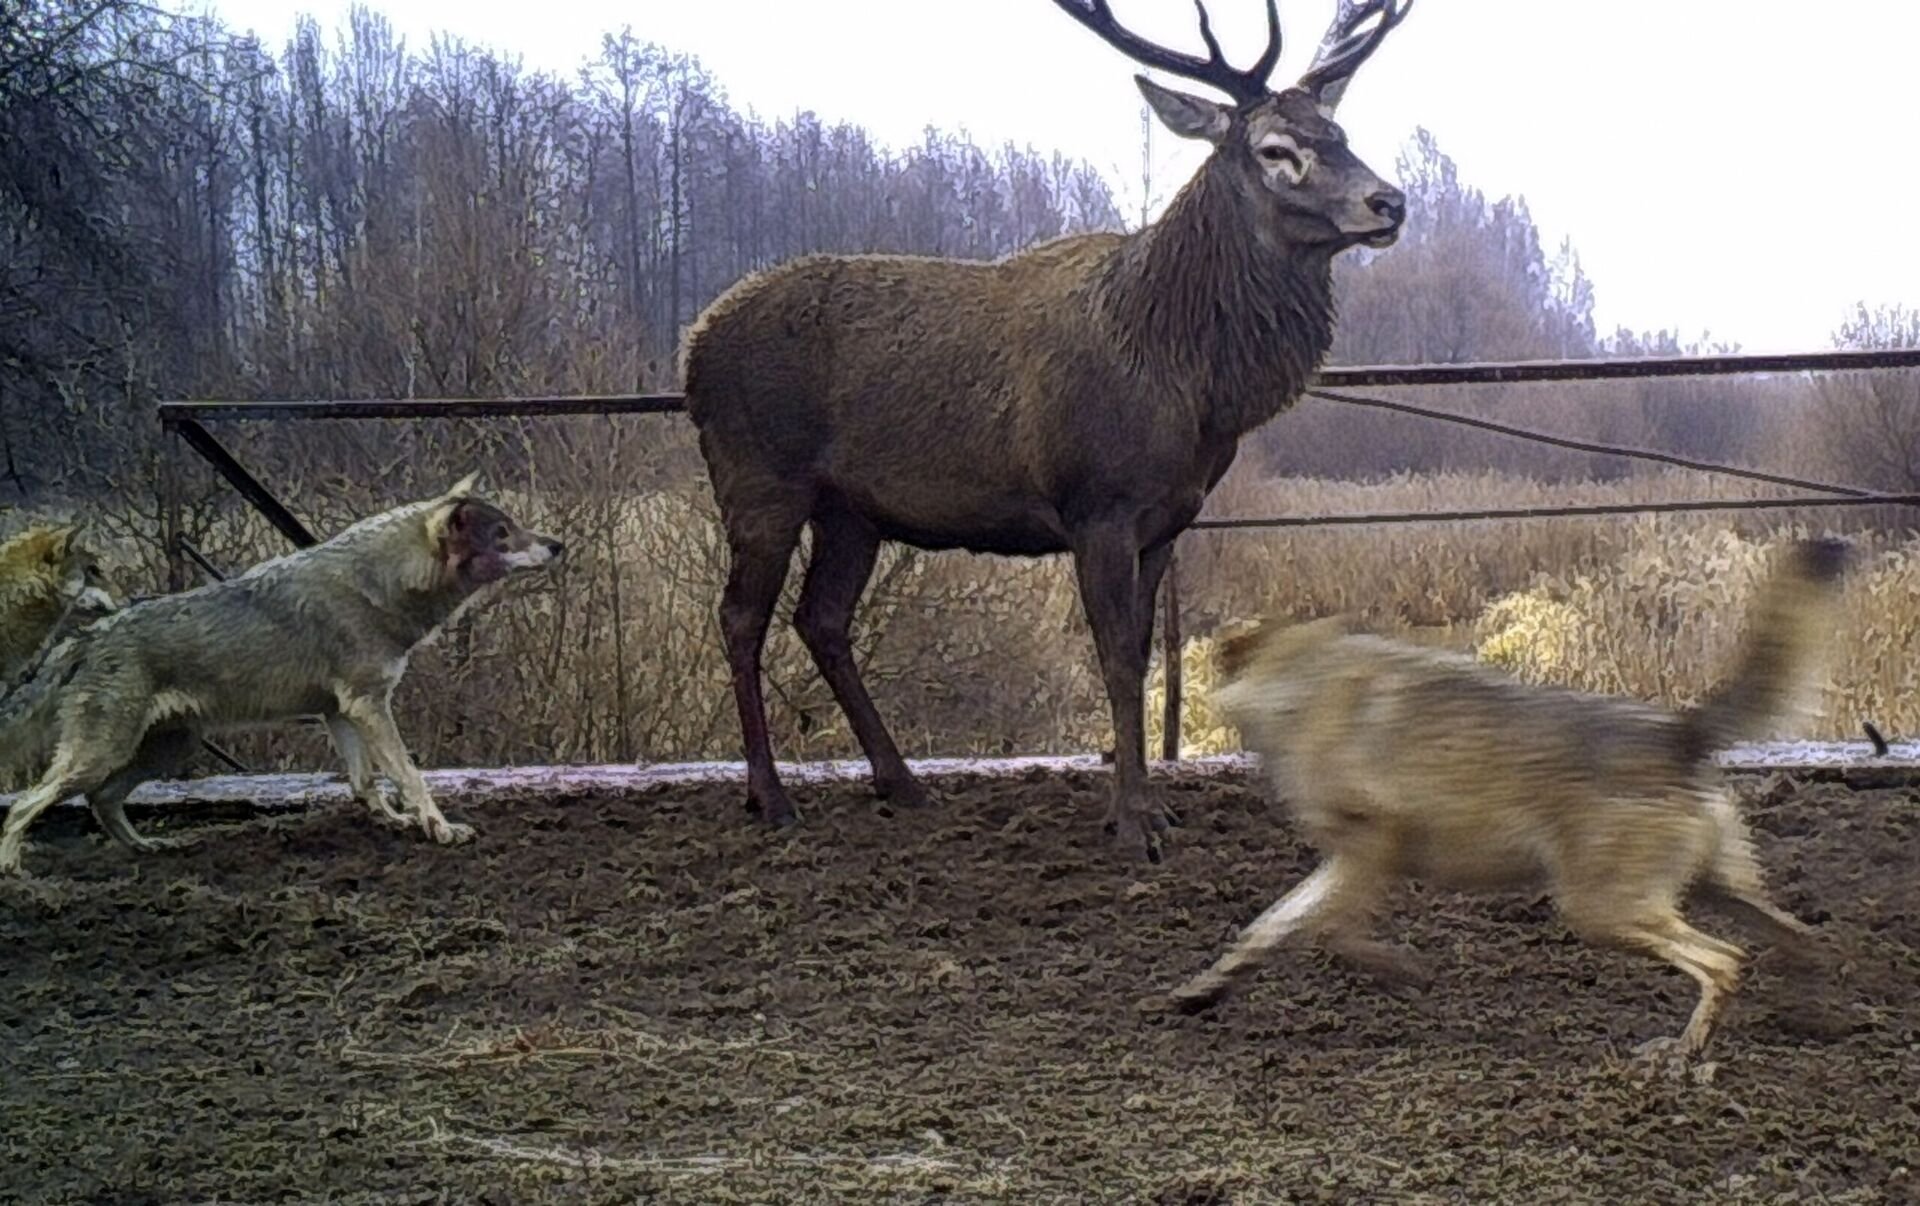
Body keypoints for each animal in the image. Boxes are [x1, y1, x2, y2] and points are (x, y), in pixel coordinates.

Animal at [680, 0, 1414, 862]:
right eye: (1275, 149)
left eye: (1339, 131)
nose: (1389, 202)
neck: (1188, 375)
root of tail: (692, 347)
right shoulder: (1097, 503)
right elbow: (1115, 660)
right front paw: (1133, 821)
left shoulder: (1167, 518)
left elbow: (1140, 653)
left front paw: (1152, 806)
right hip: (758, 475)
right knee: (741, 617)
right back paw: (770, 795)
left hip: (850, 509)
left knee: (820, 618)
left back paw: (900, 781)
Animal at [1170, 538, 1850, 1062]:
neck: (1299, 680)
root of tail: (1677, 731)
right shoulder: (1342, 859)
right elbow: (1268, 927)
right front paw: (1205, 990)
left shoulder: (1371, 845)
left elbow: (1331, 931)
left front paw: (1400, 972)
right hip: (1710, 890)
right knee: (1796, 941)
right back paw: (1809, 1016)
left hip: (1602, 909)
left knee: (1726, 961)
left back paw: (1683, 1053)